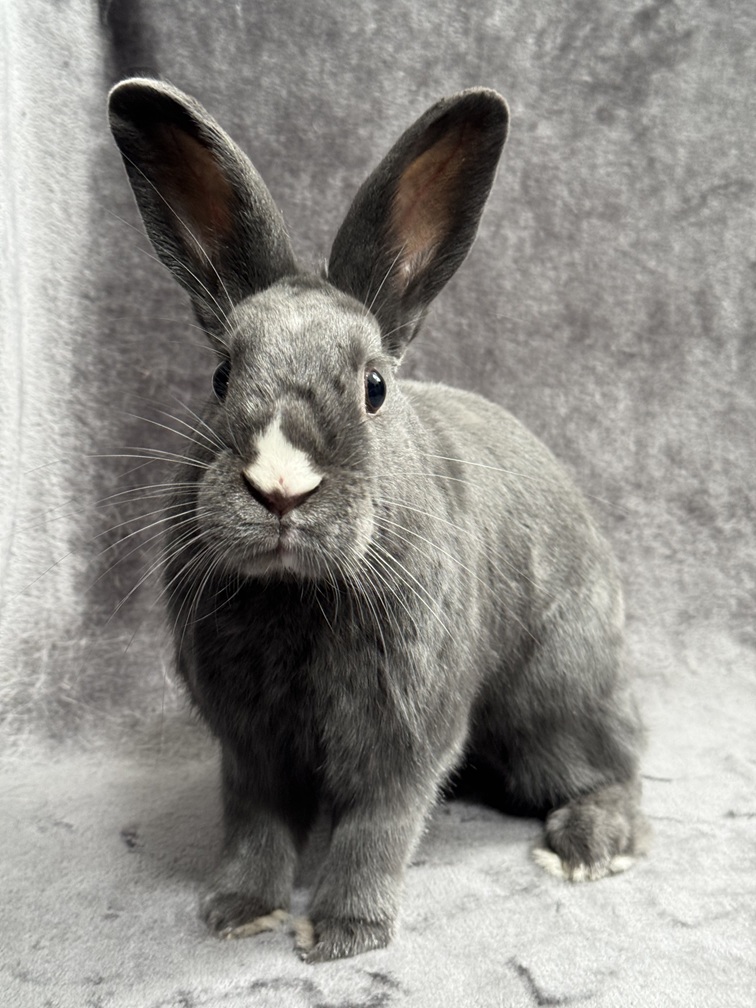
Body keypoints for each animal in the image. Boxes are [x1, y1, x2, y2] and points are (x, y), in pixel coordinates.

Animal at [108, 78, 649, 963]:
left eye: (373, 388)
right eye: (221, 376)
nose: (281, 486)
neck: (295, 595)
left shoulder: (402, 729)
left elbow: (377, 825)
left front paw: (343, 933)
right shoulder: (250, 745)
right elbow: (254, 822)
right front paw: (237, 911)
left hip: (555, 704)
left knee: (615, 770)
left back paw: (583, 847)